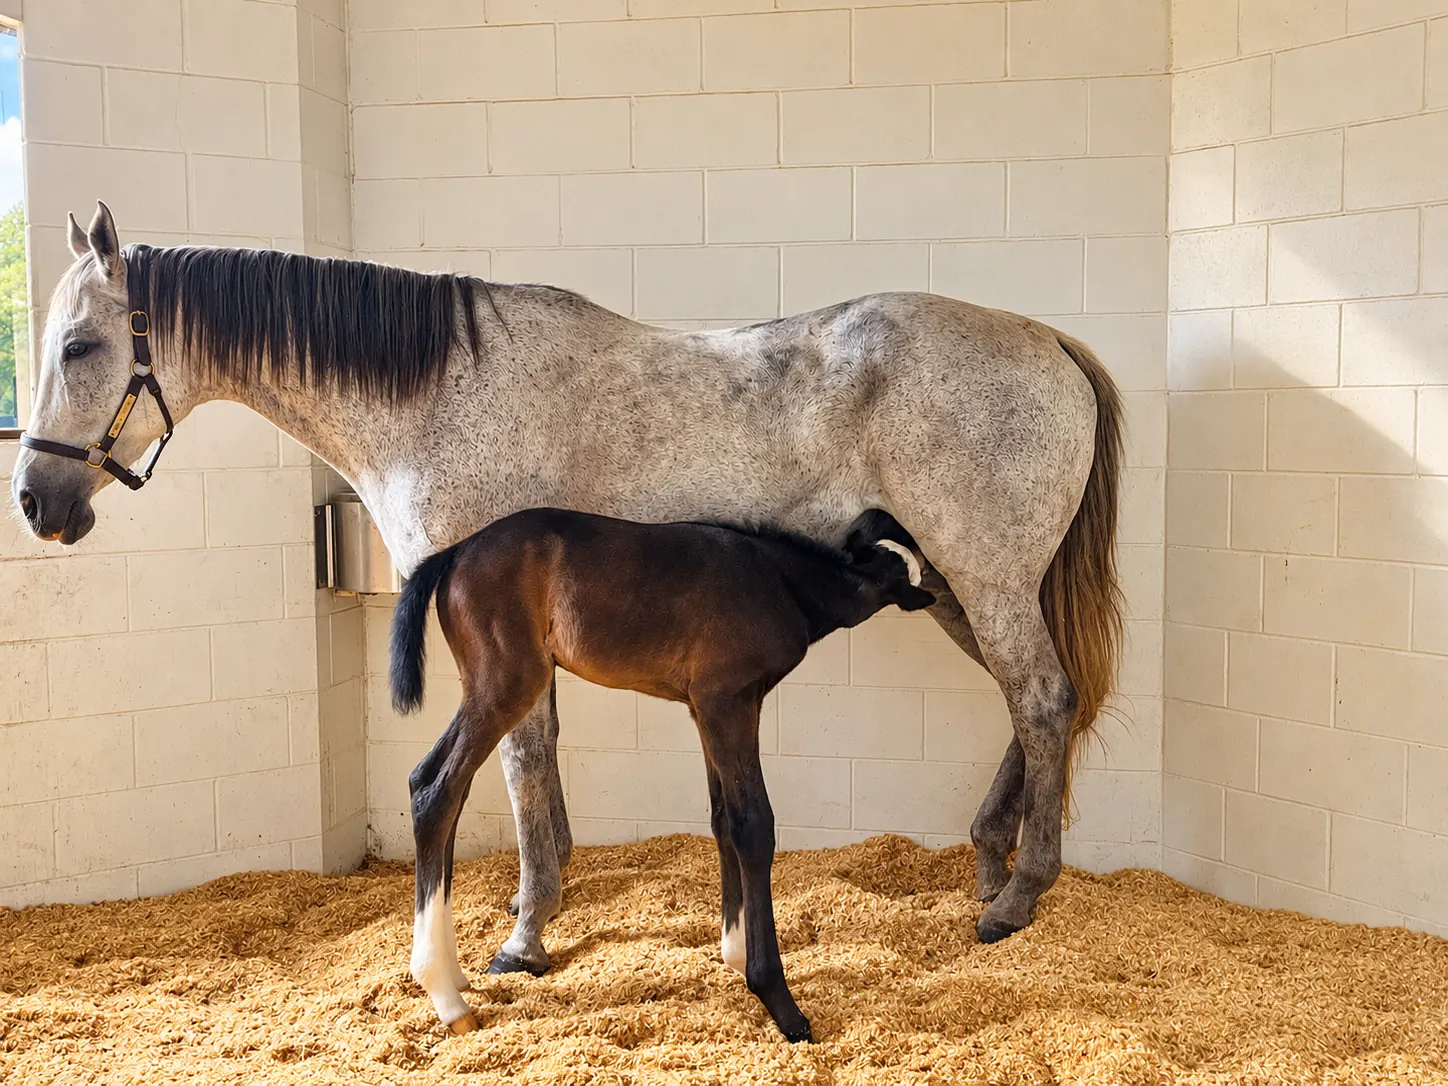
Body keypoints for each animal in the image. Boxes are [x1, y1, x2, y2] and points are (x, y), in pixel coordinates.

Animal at [390, 506, 936, 1037]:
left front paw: (735, 953)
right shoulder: (726, 702)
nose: (932, 588)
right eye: (905, 572)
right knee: (436, 791)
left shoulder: (711, 709)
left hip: (485, 688)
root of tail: (455, 553)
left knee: (436, 786)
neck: (779, 581)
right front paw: (778, 999)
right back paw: (446, 994)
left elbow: (723, 820)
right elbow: (753, 827)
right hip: (506, 685)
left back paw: (454, 974)